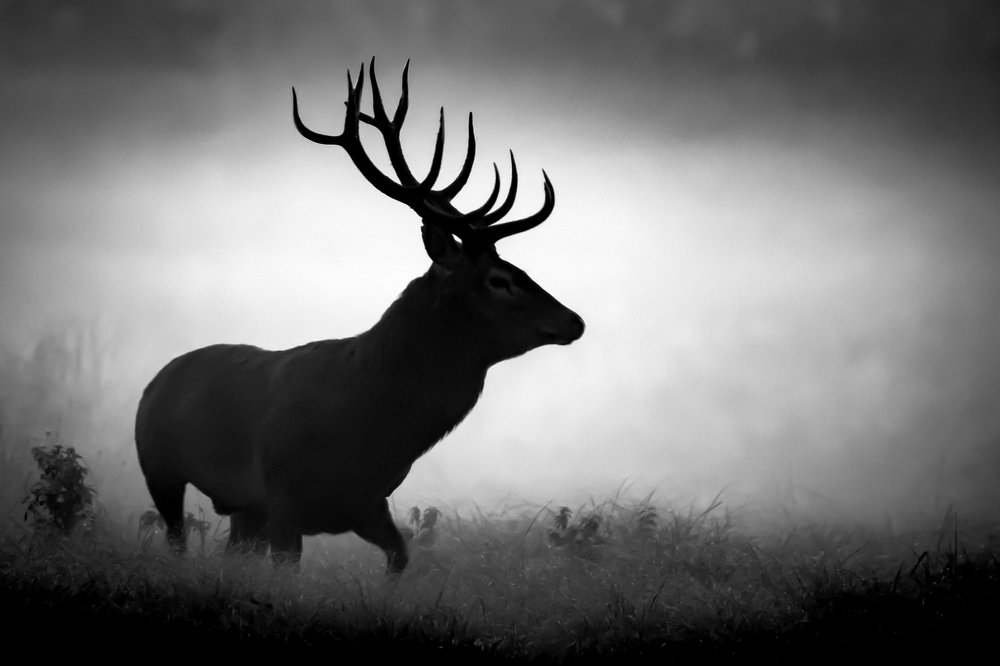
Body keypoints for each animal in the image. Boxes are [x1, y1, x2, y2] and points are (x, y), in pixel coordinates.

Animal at [134, 58, 584, 574]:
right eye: (498, 279)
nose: (575, 320)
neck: (369, 426)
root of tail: (158, 377)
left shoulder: (367, 502)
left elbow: (401, 556)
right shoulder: (282, 495)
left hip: (241, 510)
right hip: (160, 467)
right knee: (175, 539)